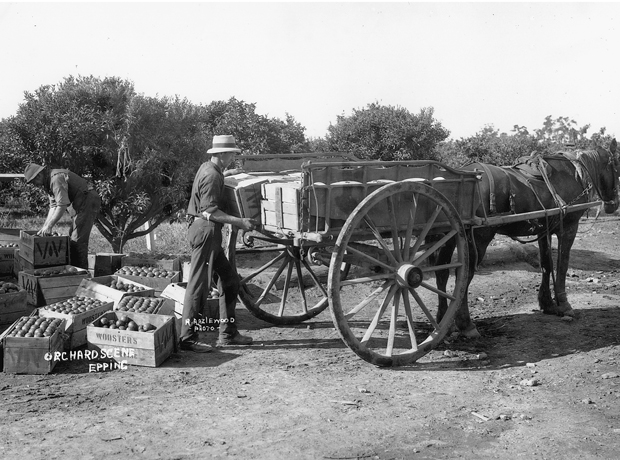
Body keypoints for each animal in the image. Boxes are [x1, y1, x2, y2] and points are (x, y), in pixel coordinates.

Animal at [434, 138, 616, 336]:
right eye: (616, 166)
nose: (613, 205)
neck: (573, 174)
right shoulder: (568, 228)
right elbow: (562, 265)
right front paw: (564, 304)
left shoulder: (544, 231)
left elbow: (546, 265)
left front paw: (548, 303)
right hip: (479, 238)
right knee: (464, 276)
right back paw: (465, 324)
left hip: (452, 236)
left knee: (442, 272)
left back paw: (444, 322)